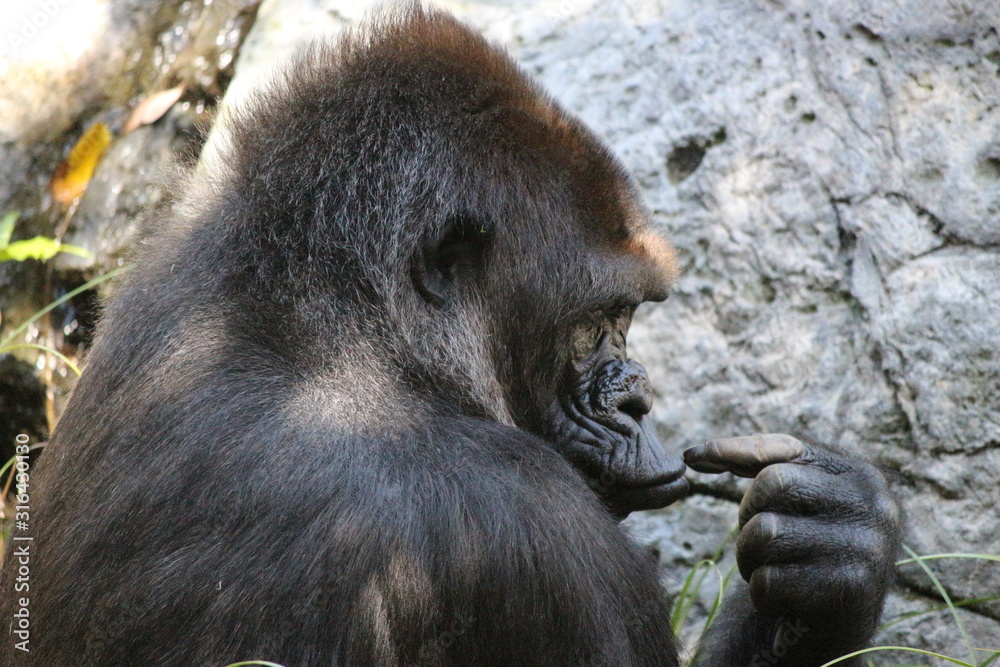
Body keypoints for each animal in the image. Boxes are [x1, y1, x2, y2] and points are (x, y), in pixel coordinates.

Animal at [0, 5, 900, 666]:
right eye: (594, 325)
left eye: (628, 319)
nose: (640, 403)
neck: (343, 328)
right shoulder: (534, 519)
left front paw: (836, 547)